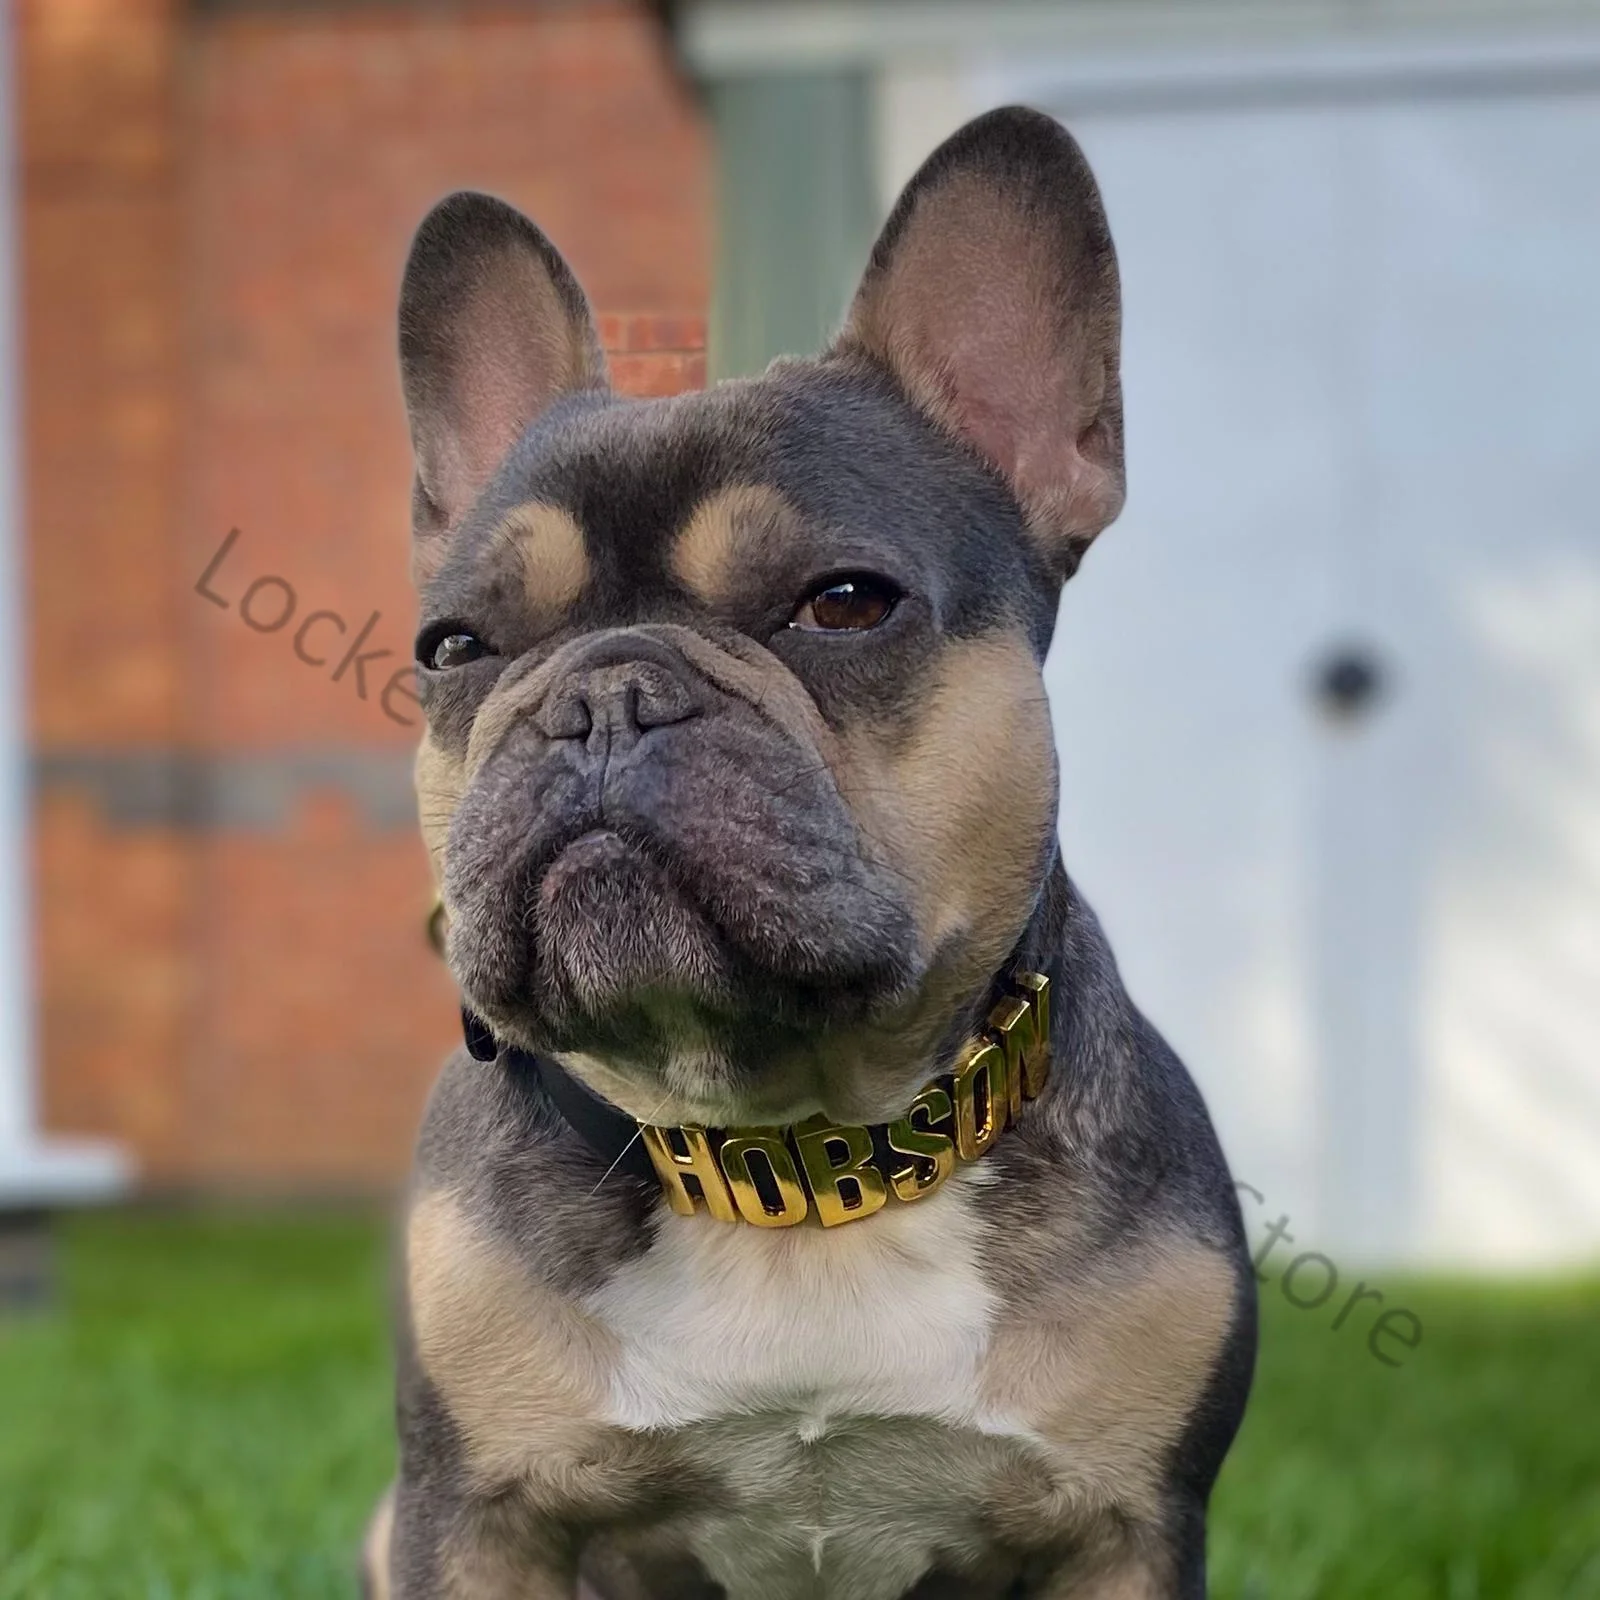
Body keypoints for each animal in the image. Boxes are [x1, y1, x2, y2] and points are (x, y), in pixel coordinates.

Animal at [366, 107, 1256, 1600]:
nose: (600, 696)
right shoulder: (473, 1516)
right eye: (454, 647)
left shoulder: (1125, 1528)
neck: (789, 1162)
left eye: (843, 603)